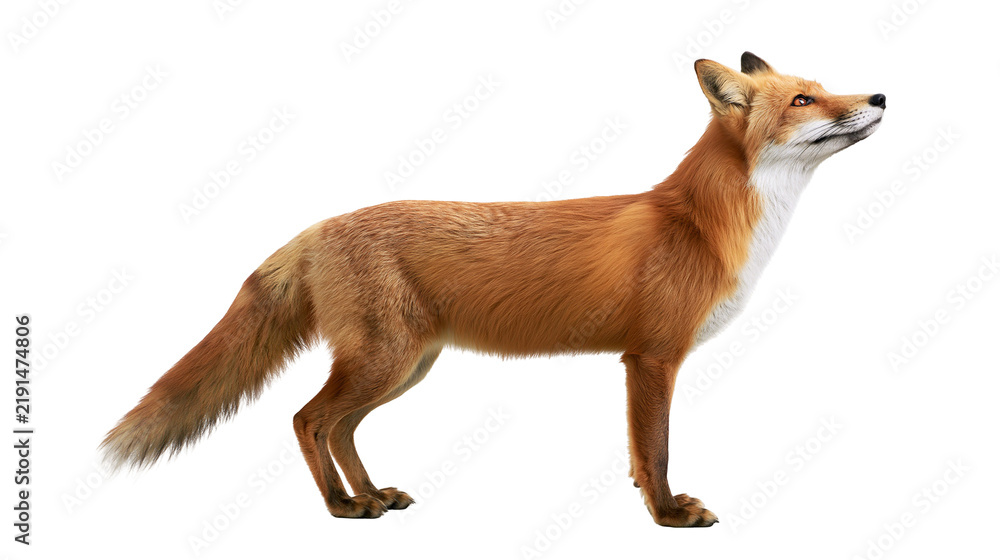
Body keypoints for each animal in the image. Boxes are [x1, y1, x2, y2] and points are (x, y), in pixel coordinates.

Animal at [102, 52, 885, 527]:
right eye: (805, 99)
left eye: (825, 88)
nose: (880, 93)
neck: (702, 224)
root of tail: (319, 226)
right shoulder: (652, 357)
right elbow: (657, 450)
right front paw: (667, 516)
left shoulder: (642, 363)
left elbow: (639, 455)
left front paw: (645, 500)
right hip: (384, 362)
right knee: (305, 419)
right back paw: (341, 507)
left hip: (406, 367)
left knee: (339, 427)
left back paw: (372, 494)